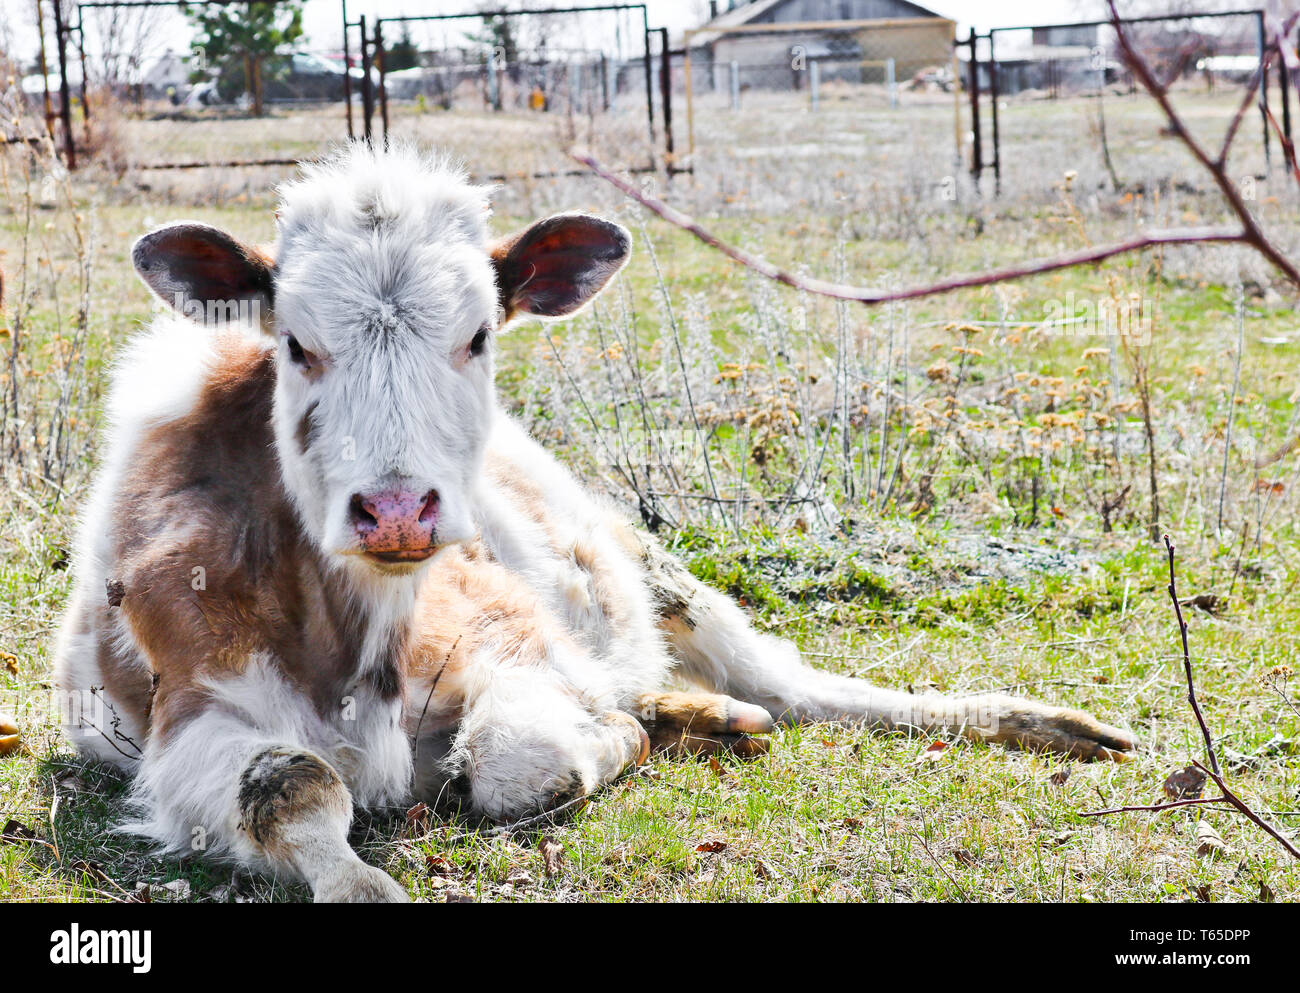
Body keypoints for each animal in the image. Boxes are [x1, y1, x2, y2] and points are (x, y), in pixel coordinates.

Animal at [53, 144, 1135, 902]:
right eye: (293, 343)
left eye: (479, 335)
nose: (397, 508)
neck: (357, 644)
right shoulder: (189, 718)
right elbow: (291, 785)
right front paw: (361, 877)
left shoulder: (517, 645)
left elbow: (527, 764)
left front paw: (613, 737)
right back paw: (704, 715)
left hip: (655, 570)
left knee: (800, 688)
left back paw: (1044, 723)